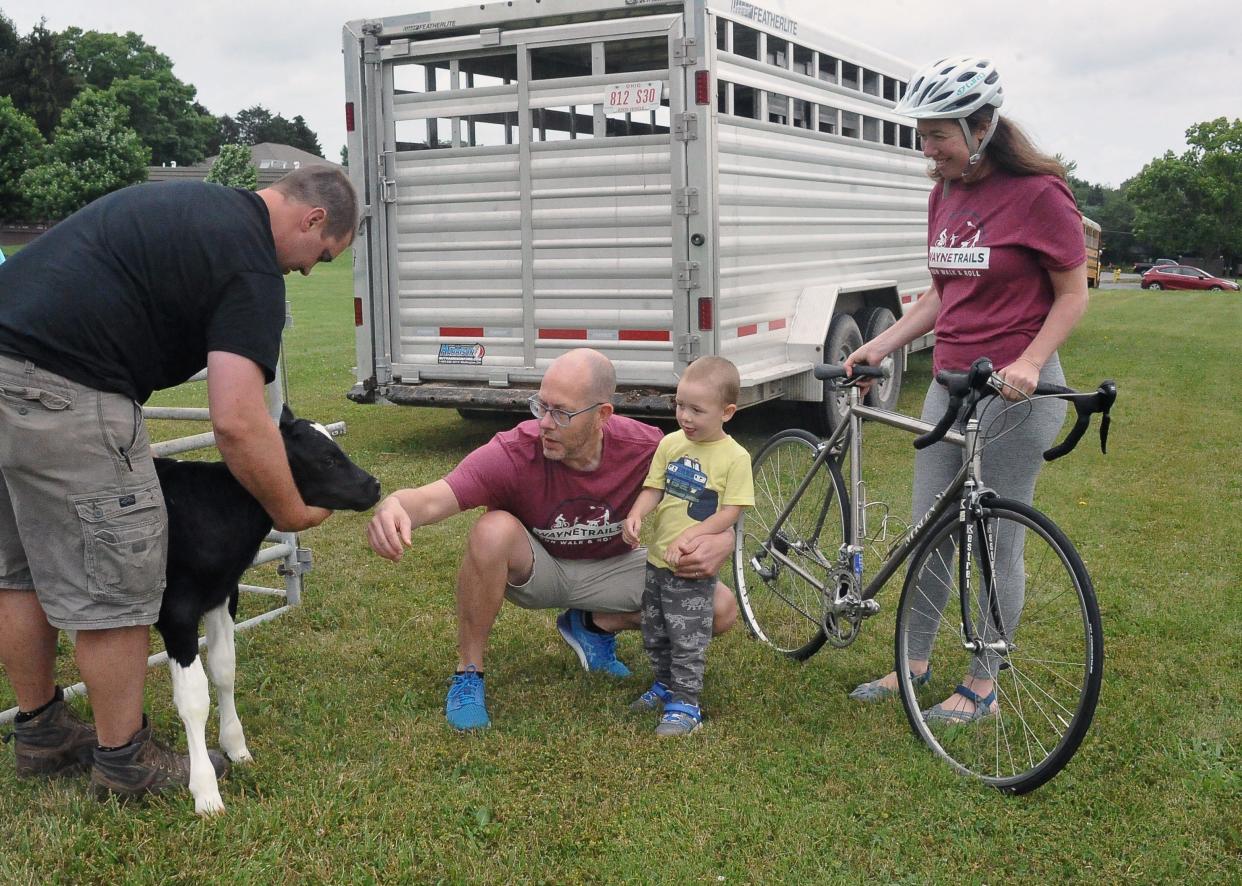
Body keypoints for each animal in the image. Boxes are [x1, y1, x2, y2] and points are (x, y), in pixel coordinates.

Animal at [155, 405, 377, 810]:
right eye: (327, 459)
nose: (374, 485)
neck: (213, 507)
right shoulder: (176, 612)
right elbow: (193, 697)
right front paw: (205, 792)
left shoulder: (222, 595)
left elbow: (224, 669)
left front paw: (236, 748)